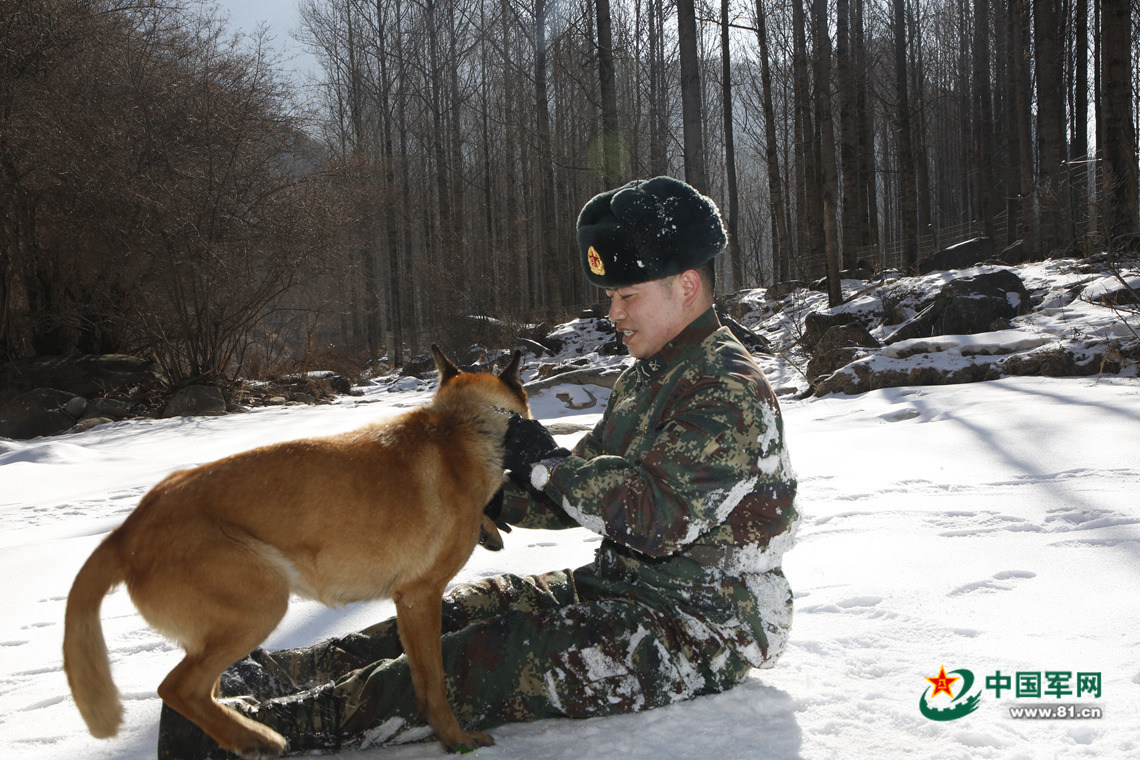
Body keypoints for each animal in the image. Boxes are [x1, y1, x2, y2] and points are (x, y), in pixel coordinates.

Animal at [61, 348, 524, 756]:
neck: (461, 424)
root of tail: (127, 530)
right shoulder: (420, 597)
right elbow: (435, 683)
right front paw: (456, 740)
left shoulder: (408, 605)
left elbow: (422, 681)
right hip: (261, 605)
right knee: (175, 687)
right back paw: (256, 738)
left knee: (201, 690)